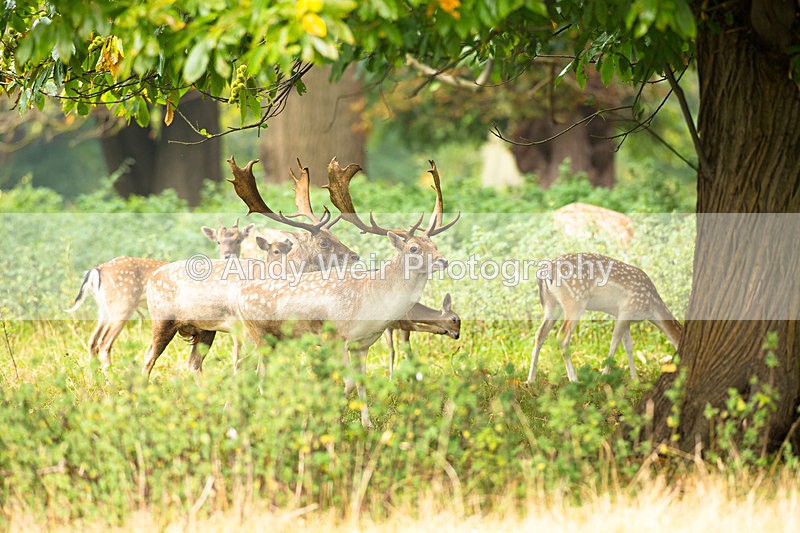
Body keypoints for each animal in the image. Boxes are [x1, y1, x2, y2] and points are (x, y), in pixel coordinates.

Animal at [65, 219, 254, 370]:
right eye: (218, 241)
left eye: (239, 239)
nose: (227, 255)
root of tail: (97, 270)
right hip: (122, 305)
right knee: (105, 343)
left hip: (105, 309)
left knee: (93, 341)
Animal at [143, 156, 361, 374]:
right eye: (323, 242)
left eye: (336, 236)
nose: (355, 256)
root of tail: (151, 279)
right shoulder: (245, 326)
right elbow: (243, 365)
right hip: (161, 319)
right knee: (148, 357)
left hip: (204, 329)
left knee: (193, 363)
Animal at [527, 252, 682, 383]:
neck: (651, 308)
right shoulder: (626, 311)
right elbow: (614, 342)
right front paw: (604, 375)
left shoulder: (626, 317)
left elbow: (628, 346)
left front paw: (635, 378)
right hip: (575, 301)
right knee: (562, 336)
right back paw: (574, 379)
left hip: (551, 305)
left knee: (539, 334)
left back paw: (531, 379)